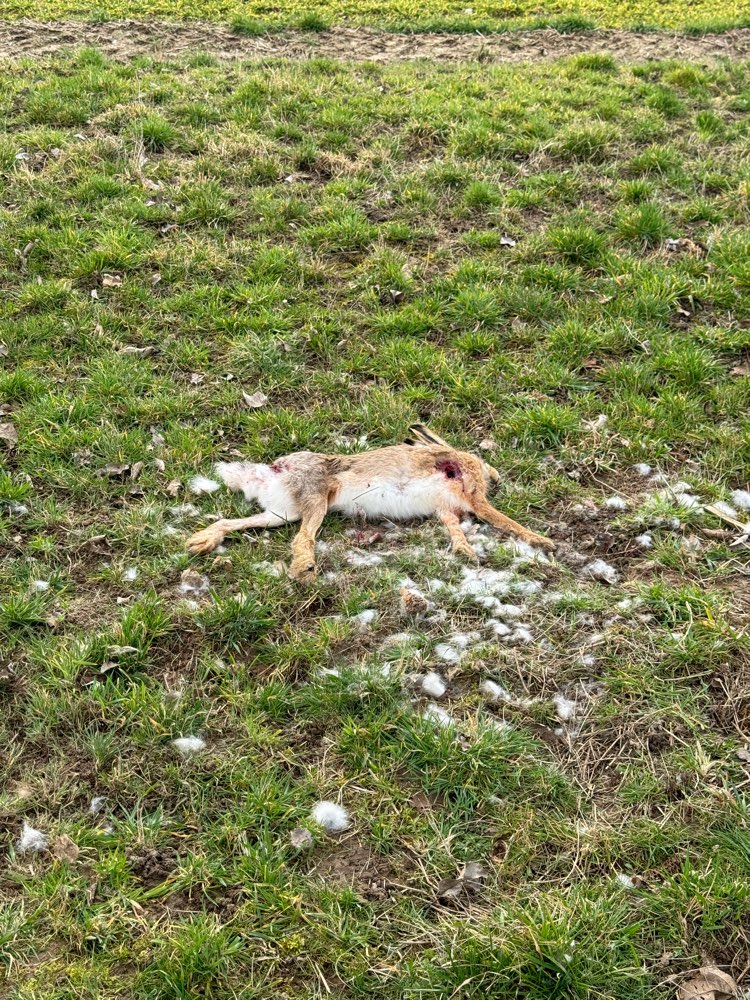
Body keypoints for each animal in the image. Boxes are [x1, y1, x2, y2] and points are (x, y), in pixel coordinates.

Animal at [185, 424, 554, 582]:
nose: (496, 477)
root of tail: (272, 472)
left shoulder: (446, 509)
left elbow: (453, 528)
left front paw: (465, 552)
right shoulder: (472, 496)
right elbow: (502, 520)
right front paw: (542, 541)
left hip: (281, 512)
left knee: (236, 523)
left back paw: (200, 542)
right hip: (316, 499)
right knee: (302, 539)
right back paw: (304, 570)